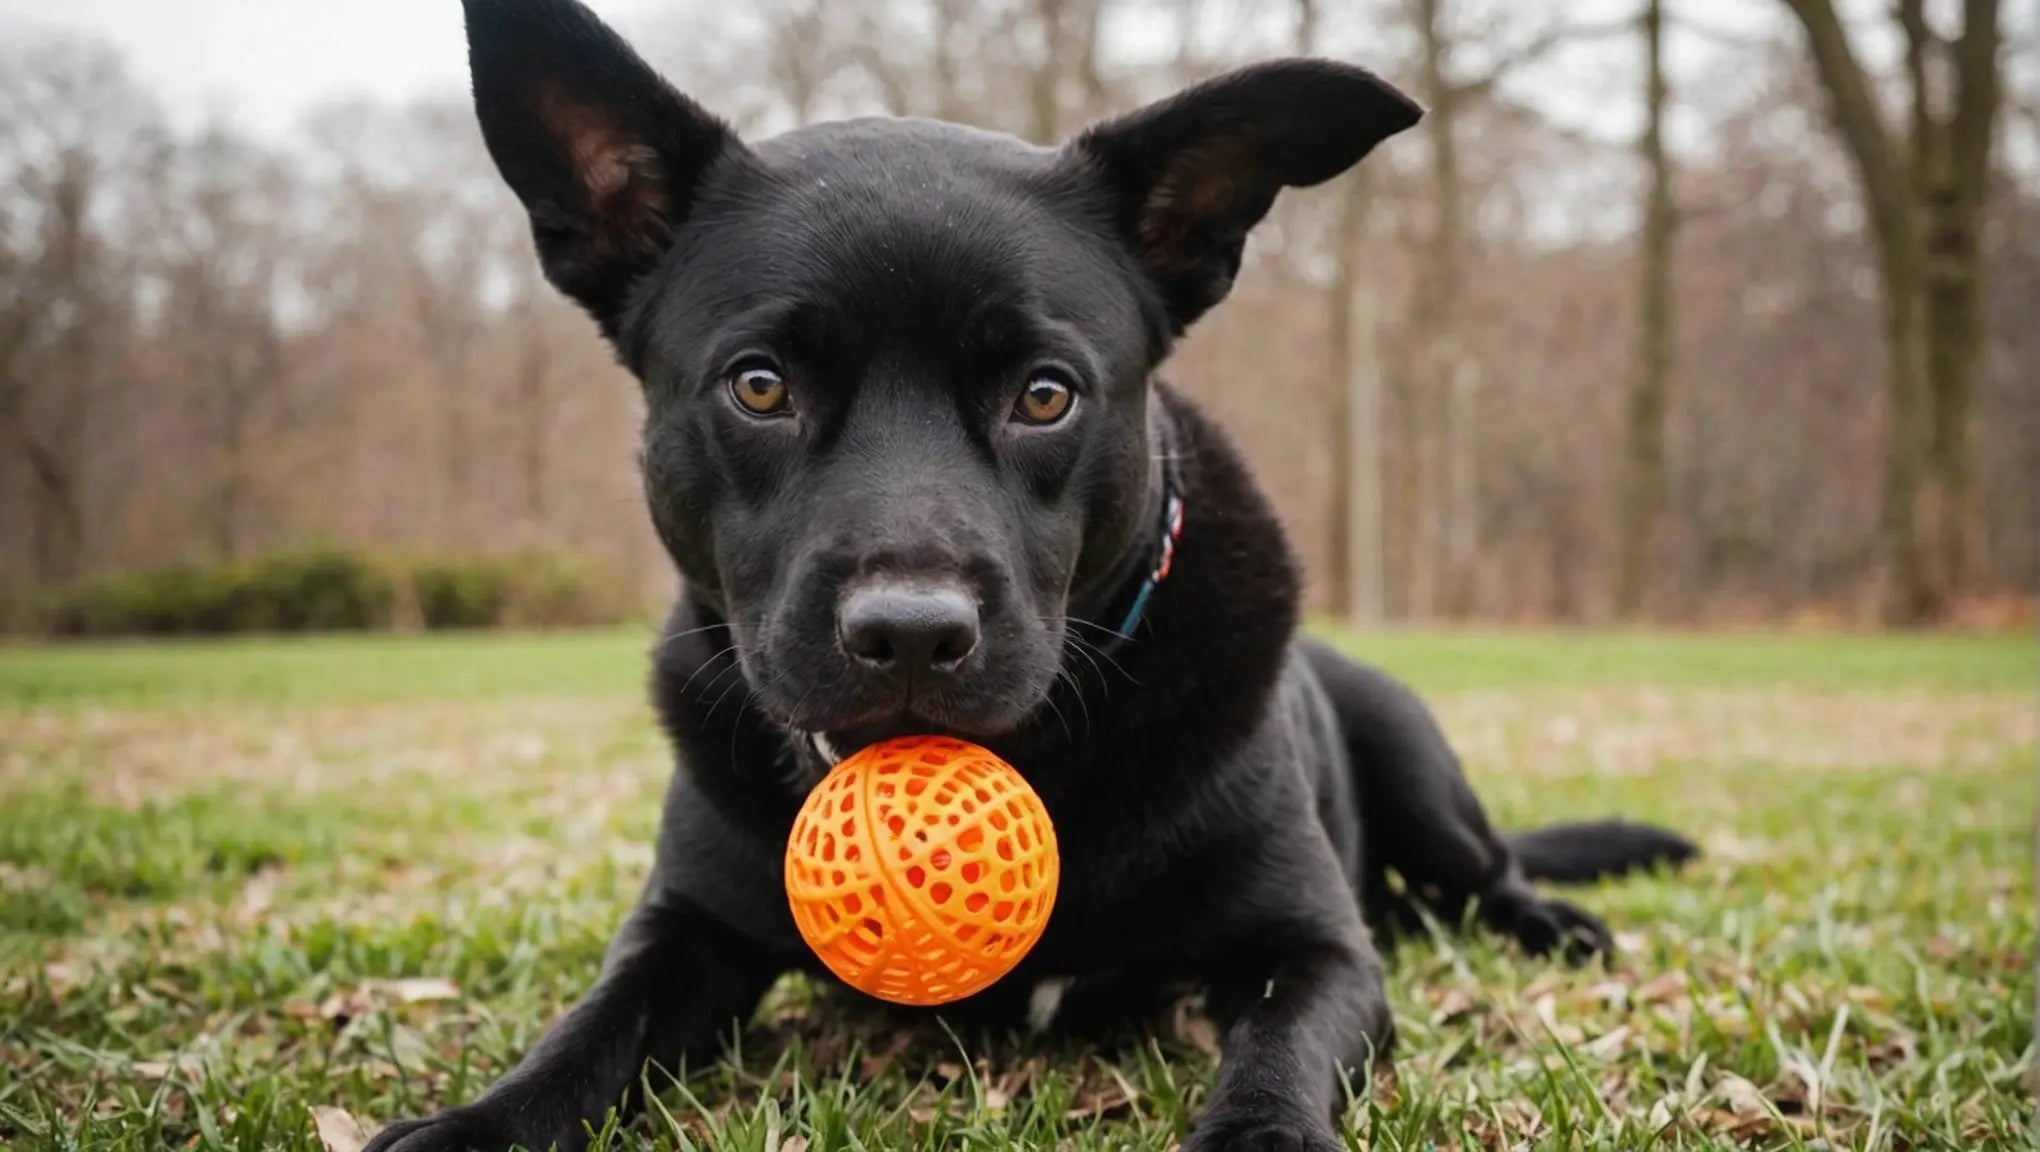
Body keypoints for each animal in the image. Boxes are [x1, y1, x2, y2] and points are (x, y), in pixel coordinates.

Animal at [363, 4, 1689, 1141]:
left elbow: (1279, 1046)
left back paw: (1552, 920)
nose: (908, 633)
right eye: (760, 386)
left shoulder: (1314, 949)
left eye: (1045, 395)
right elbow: (590, 1030)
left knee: (1485, 870)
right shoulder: (687, 927)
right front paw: (476, 1123)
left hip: (1413, 759)